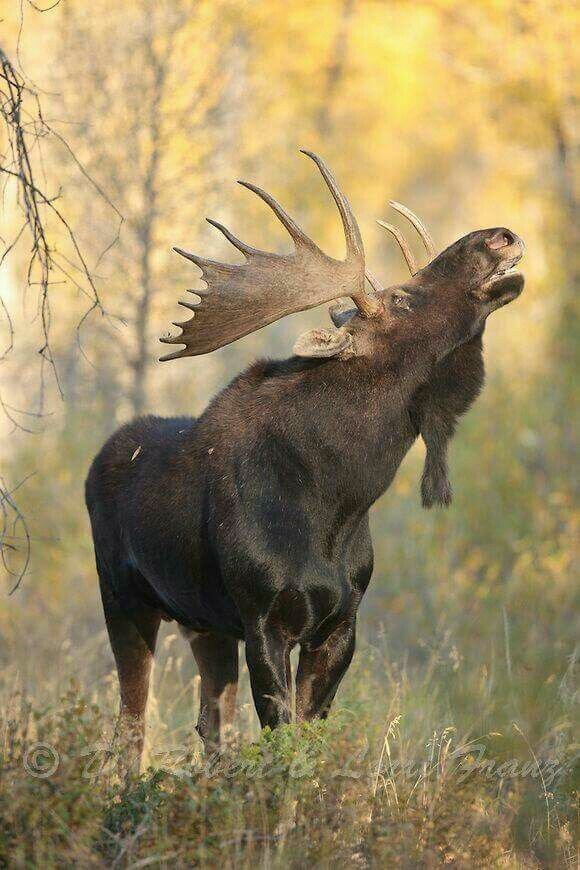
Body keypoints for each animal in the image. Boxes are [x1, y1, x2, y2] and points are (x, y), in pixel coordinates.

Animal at [85, 150, 525, 768]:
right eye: (402, 297)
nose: (498, 235)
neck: (335, 496)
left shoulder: (341, 622)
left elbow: (307, 737)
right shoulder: (263, 619)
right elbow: (281, 737)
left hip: (205, 623)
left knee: (209, 725)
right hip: (123, 600)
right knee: (130, 725)